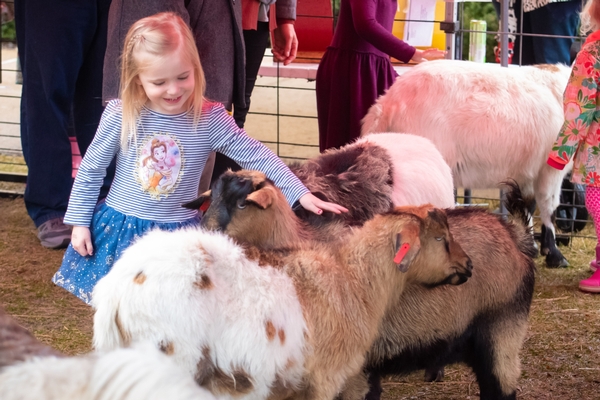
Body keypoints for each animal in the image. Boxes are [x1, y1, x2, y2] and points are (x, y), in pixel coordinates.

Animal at [360, 59, 572, 268]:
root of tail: (387, 103)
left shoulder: (527, 170)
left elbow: (527, 204)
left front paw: (532, 247)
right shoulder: (551, 167)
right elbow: (549, 205)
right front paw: (554, 254)